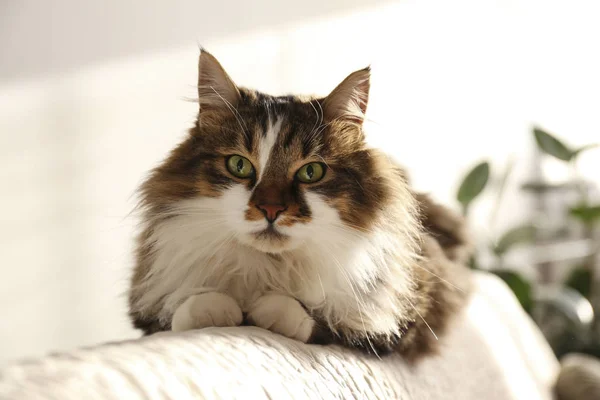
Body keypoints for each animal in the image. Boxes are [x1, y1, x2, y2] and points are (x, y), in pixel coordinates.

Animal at [127, 48, 474, 360]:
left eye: (311, 172)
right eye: (239, 165)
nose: (270, 210)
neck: (268, 267)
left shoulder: (408, 312)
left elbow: (323, 321)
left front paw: (265, 310)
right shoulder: (148, 302)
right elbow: (182, 310)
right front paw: (214, 310)